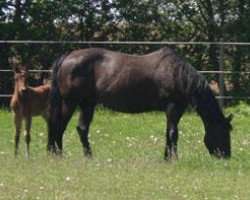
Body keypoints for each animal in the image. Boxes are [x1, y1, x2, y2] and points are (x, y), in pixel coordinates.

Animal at [47, 47, 232, 161]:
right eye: (224, 132)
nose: (226, 156)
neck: (179, 75)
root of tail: (68, 57)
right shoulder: (173, 108)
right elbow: (173, 134)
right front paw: (174, 159)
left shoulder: (173, 111)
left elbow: (168, 133)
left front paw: (166, 158)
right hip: (70, 102)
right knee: (59, 126)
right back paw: (58, 155)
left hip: (88, 103)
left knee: (82, 129)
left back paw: (88, 157)